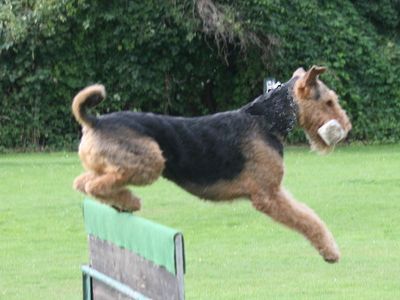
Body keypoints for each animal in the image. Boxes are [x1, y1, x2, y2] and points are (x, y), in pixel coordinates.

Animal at [73, 66, 352, 262]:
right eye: (328, 101)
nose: (347, 127)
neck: (267, 120)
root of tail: (94, 122)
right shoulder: (268, 195)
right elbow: (307, 220)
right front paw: (330, 252)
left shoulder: (274, 190)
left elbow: (306, 214)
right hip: (151, 162)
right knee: (94, 185)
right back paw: (131, 201)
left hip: (116, 164)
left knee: (83, 182)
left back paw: (122, 202)